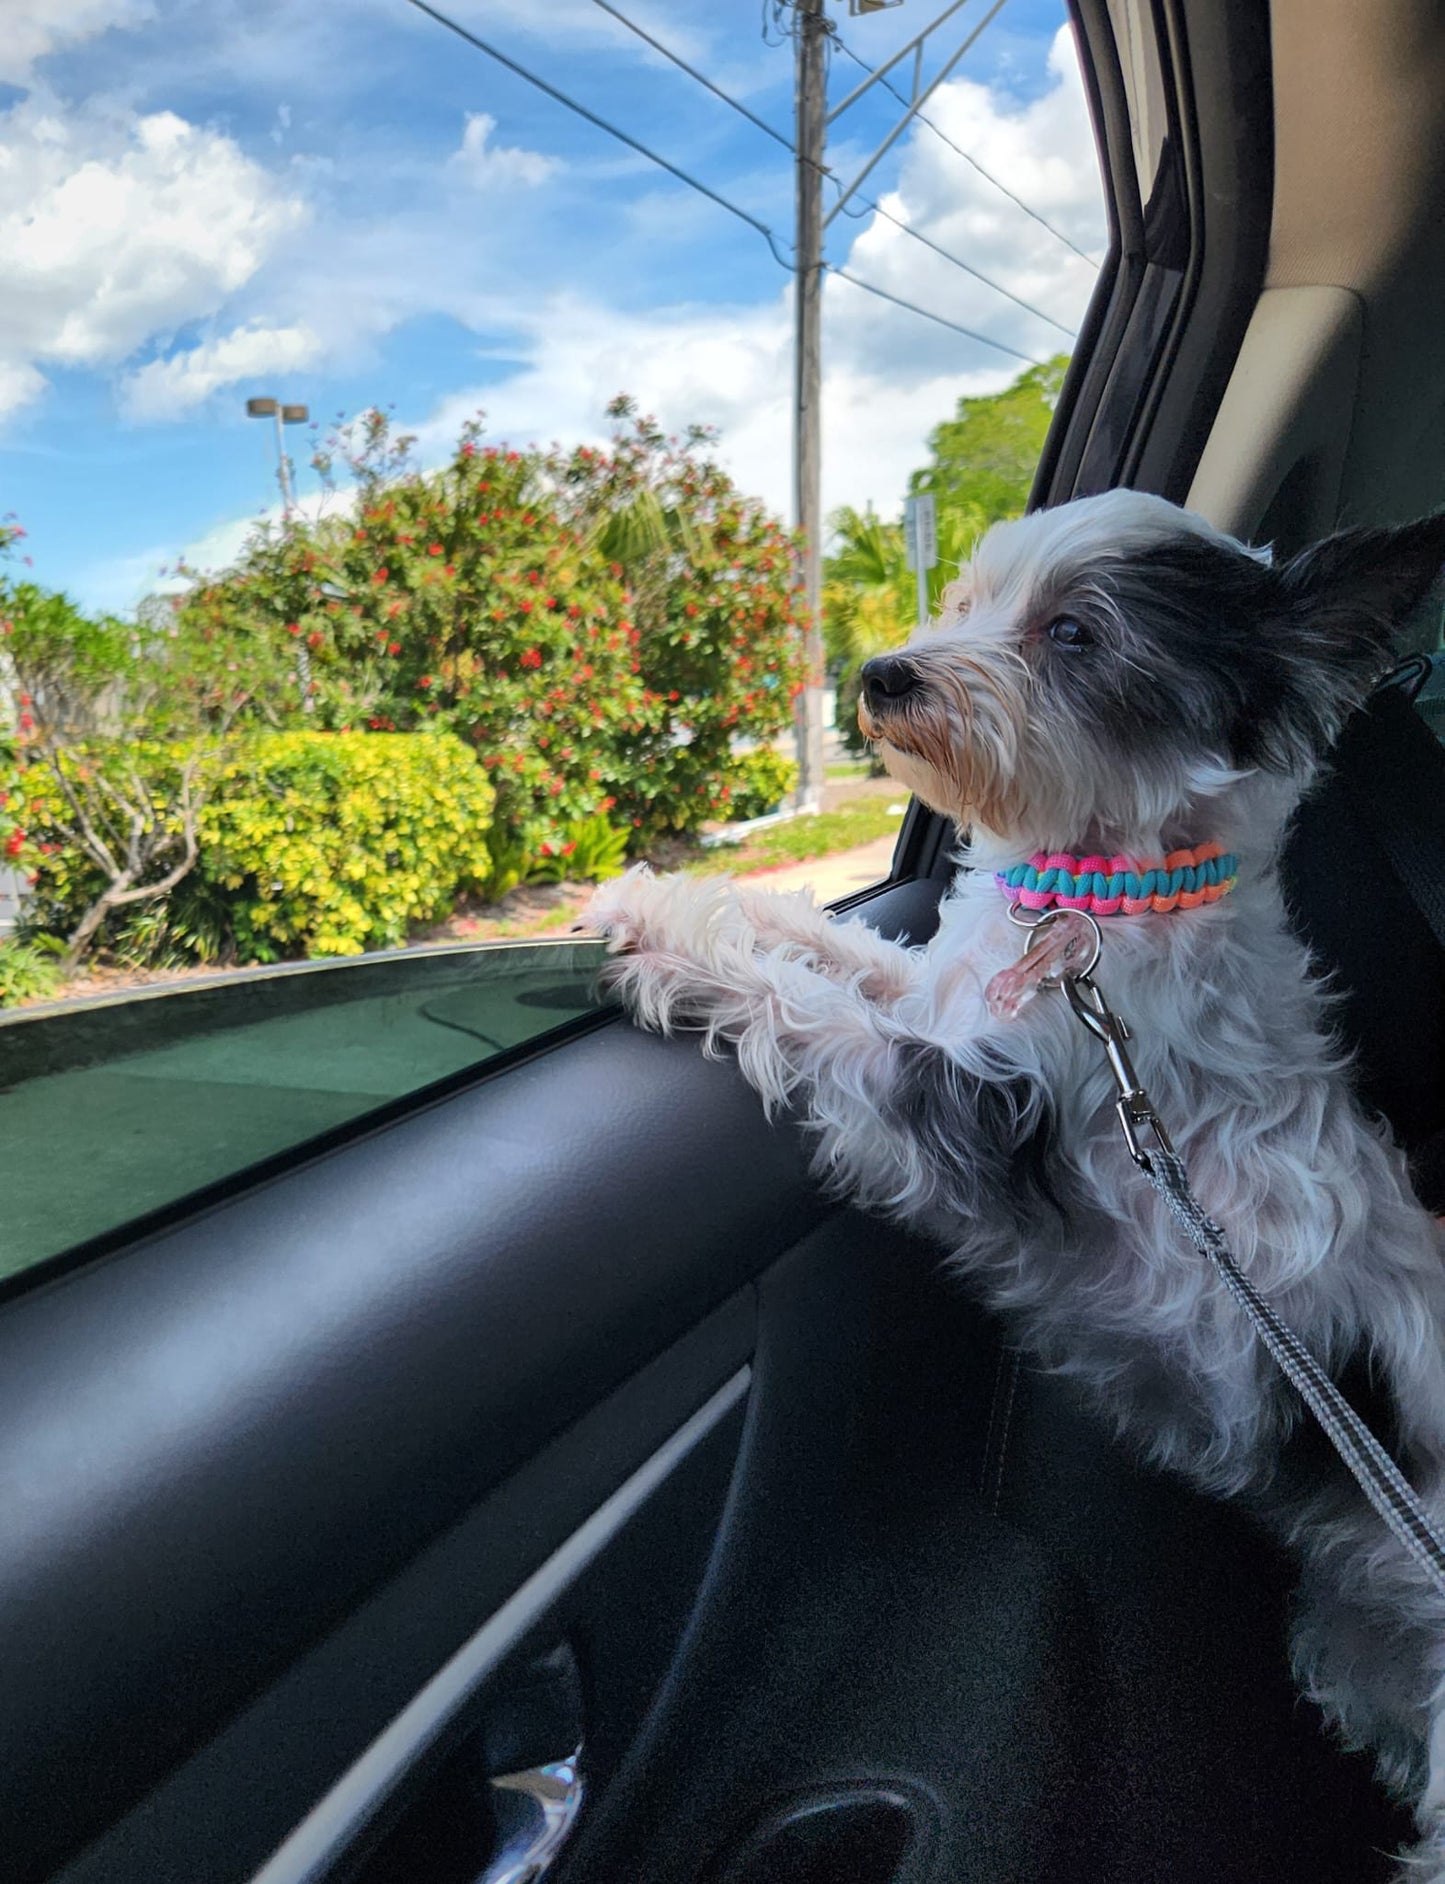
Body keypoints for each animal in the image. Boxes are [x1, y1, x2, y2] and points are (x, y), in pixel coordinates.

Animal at [584, 486, 1445, 1868]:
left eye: (1075, 635)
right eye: (966, 595)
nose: (881, 674)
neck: (1109, 898)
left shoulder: (971, 1111)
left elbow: (818, 1017)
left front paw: (661, 931)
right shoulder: (947, 990)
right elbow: (843, 953)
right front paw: (691, 892)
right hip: (1353, 1635)